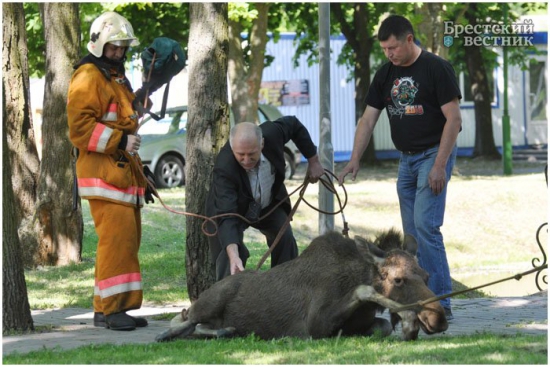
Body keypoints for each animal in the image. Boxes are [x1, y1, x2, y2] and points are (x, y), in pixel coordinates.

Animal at [155, 230, 448, 342]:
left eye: (426, 276)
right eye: (398, 279)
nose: (438, 318)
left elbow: (384, 325)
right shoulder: (315, 324)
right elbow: (366, 291)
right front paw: (408, 319)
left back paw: (225, 329)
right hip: (212, 299)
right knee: (185, 319)